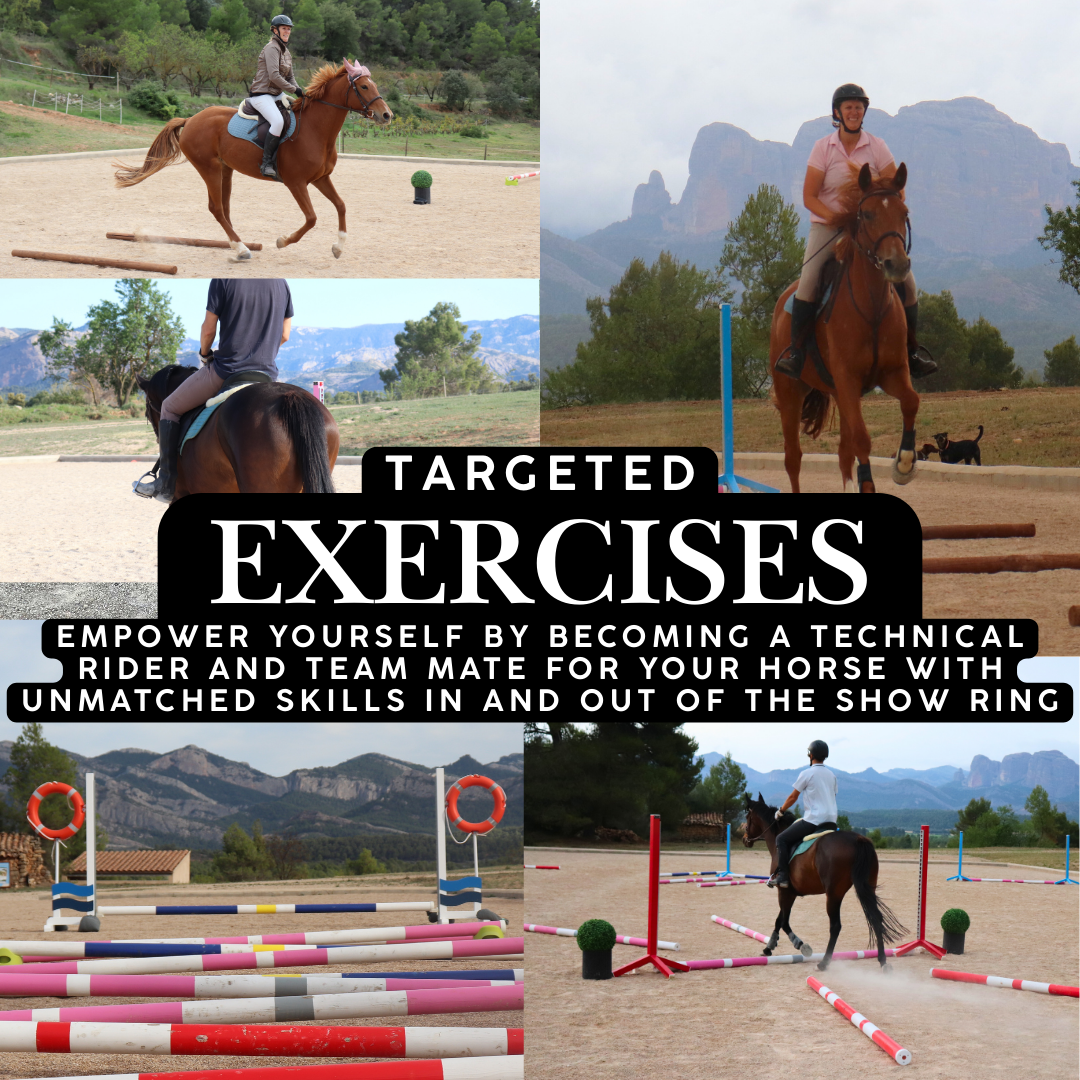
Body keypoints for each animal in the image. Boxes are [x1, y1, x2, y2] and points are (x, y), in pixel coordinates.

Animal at [113, 61, 390, 261]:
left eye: (373, 84)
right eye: (364, 87)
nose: (387, 115)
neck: (315, 129)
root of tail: (190, 119)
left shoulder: (321, 178)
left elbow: (341, 206)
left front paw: (338, 247)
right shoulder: (296, 183)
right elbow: (311, 218)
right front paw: (283, 241)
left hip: (225, 170)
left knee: (224, 209)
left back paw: (237, 245)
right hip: (209, 168)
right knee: (216, 209)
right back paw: (241, 249)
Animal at [738, 794, 907, 972]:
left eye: (748, 818)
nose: (745, 839)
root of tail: (858, 839)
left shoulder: (784, 891)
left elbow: (783, 921)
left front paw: (796, 945)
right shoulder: (791, 892)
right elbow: (780, 919)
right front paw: (771, 947)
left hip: (833, 894)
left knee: (835, 926)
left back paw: (824, 962)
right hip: (868, 887)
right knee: (876, 918)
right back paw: (883, 961)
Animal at [768, 159, 920, 494]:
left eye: (904, 212)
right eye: (867, 214)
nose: (897, 265)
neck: (872, 307)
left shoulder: (892, 373)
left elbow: (911, 402)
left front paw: (904, 465)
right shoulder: (848, 379)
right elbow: (862, 440)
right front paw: (875, 478)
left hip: (837, 390)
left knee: (842, 452)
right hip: (790, 391)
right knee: (793, 457)